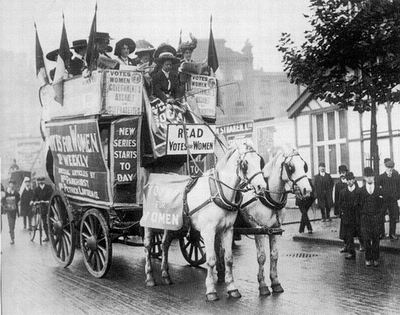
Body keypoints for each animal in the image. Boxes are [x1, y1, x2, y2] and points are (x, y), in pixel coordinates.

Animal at [142, 143, 268, 302]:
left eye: (259, 160)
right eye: (245, 163)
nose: (261, 187)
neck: (218, 192)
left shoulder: (227, 230)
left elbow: (228, 259)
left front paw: (232, 289)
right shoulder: (208, 232)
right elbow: (211, 260)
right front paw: (211, 291)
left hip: (170, 224)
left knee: (164, 245)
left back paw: (165, 275)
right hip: (149, 223)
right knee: (148, 247)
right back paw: (150, 278)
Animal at [217, 148, 310, 296]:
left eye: (304, 165)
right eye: (291, 167)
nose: (307, 190)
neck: (268, 197)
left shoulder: (275, 230)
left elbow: (274, 256)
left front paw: (276, 283)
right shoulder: (258, 230)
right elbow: (262, 257)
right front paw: (263, 285)